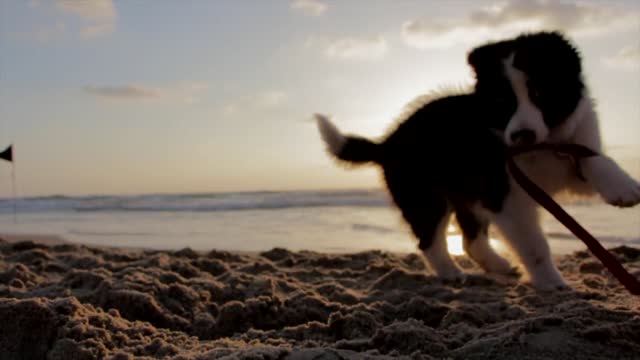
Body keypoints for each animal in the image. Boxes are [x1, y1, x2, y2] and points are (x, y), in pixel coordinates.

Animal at [316, 31, 640, 290]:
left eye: (539, 92)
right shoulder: (507, 196)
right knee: (430, 240)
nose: (521, 135)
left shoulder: (568, 157)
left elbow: (593, 158)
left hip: (467, 194)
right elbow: (534, 244)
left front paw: (623, 187)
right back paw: (451, 273)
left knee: (470, 240)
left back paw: (498, 265)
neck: (543, 145)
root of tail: (389, 142)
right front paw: (551, 283)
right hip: (427, 196)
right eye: (502, 102)